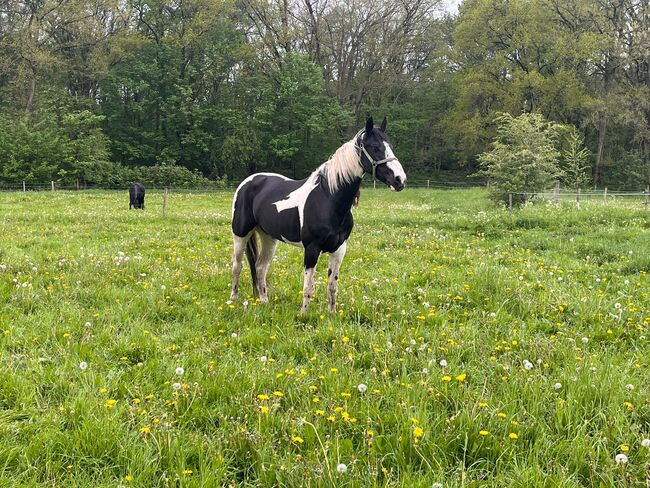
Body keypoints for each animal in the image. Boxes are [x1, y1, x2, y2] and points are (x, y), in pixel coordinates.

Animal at [229, 116, 404, 310]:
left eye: (390, 146)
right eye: (374, 147)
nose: (399, 179)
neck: (328, 199)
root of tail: (249, 181)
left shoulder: (339, 249)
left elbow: (332, 286)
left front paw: (332, 313)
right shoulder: (312, 249)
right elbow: (308, 287)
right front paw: (303, 313)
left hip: (268, 237)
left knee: (260, 267)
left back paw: (264, 301)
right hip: (240, 234)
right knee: (237, 265)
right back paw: (233, 299)